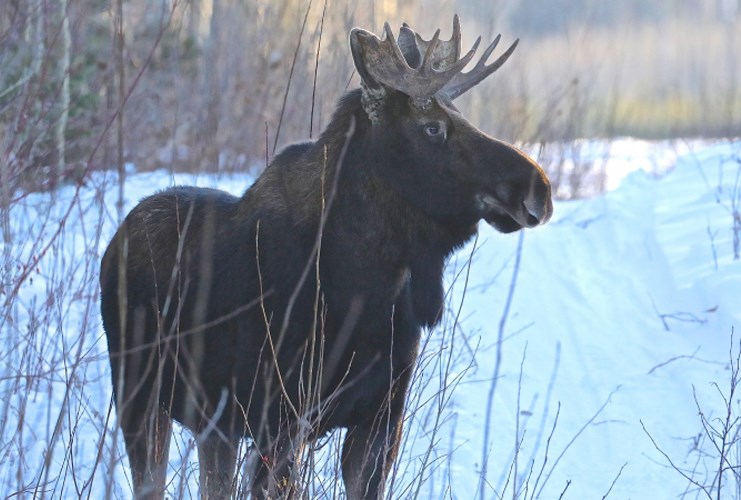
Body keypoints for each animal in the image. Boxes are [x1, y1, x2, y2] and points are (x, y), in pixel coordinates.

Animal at [99, 14, 548, 500]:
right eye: (432, 127)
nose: (538, 187)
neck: (368, 290)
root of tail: (115, 242)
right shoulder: (278, 419)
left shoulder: (381, 418)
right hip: (140, 398)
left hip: (212, 425)